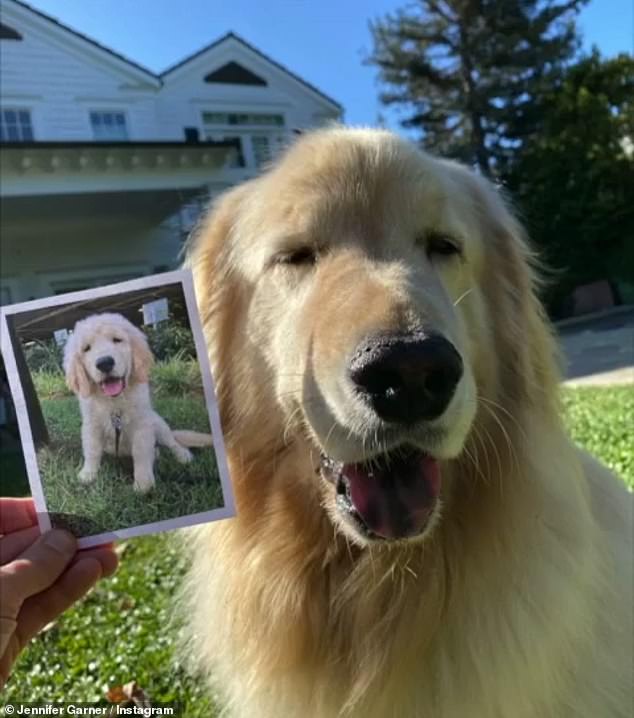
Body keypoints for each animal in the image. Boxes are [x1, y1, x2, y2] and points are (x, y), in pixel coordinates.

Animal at [64, 316, 212, 496]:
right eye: (86, 348)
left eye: (117, 340)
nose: (104, 363)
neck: (114, 403)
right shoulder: (91, 424)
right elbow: (91, 449)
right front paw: (88, 474)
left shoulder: (142, 424)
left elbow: (141, 452)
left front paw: (143, 483)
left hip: (157, 424)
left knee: (172, 442)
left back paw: (183, 455)